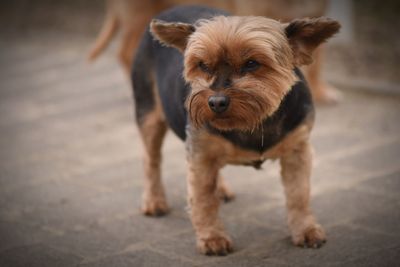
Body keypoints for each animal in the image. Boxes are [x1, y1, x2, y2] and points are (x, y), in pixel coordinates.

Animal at [132, 4, 340, 255]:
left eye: (252, 63)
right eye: (202, 65)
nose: (216, 102)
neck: (253, 121)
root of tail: (172, 8)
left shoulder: (297, 150)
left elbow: (298, 194)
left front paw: (306, 229)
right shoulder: (201, 152)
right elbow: (203, 199)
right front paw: (212, 238)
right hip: (149, 113)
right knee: (150, 159)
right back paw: (154, 201)